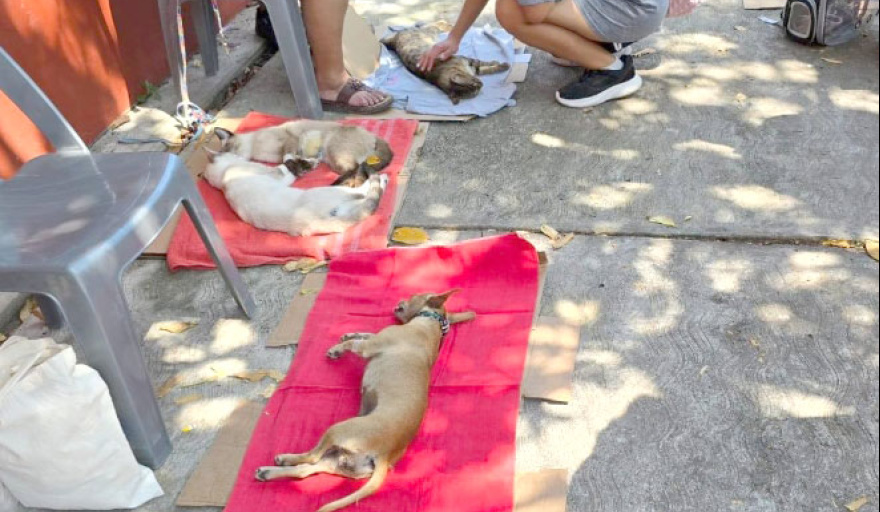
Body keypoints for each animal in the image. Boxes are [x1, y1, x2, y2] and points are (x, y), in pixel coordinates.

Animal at [203, 151, 388, 237]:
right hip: (328, 191)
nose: (240, 156)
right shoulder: (279, 175)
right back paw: (382, 178)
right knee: (361, 191)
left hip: (346, 208)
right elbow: (288, 165)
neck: (223, 178)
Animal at [214, 121, 393, 187]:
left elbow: (287, 157)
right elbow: (298, 160)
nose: (229, 157)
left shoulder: (289, 141)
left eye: (228, 148)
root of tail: (371, 135)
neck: (255, 147)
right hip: (332, 160)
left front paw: (298, 168)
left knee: (356, 168)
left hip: (334, 152)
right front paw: (304, 166)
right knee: (359, 169)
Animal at [255, 290, 476, 512]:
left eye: (415, 295)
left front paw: (338, 347)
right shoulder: (374, 338)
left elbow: (356, 342)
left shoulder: (369, 346)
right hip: (337, 460)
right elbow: (366, 332)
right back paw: (271, 469)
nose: (400, 300)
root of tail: (384, 455)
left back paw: (282, 460)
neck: (432, 323)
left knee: (311, 457)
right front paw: (349, 334)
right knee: (304, 470)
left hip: (338, 431)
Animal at [381, 21, 510, 104]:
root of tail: (395, 39)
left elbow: (485, 63)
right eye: (475, 90)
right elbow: (487, 68)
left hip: (428, 33)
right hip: (430, 32)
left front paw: (498, 63)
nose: (481, 84)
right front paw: (502, 65)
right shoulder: (471, 65)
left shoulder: (469, 61)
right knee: (434, 24)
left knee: (434, 23)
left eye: (474, 83)